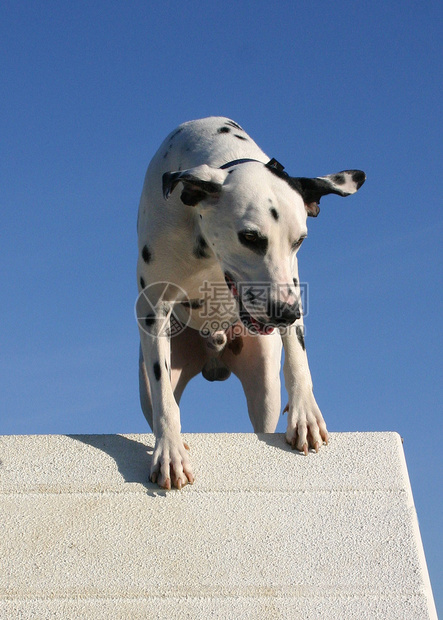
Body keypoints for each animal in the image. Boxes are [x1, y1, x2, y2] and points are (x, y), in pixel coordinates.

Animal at [137, 116, 366, 490]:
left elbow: (298, 357)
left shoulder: (292, 285)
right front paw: (169, 450)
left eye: (299, 240)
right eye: (249, 237)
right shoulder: (153, 307)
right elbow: (165, 400)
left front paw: (305, 412)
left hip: (264, 385)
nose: (285, 314)